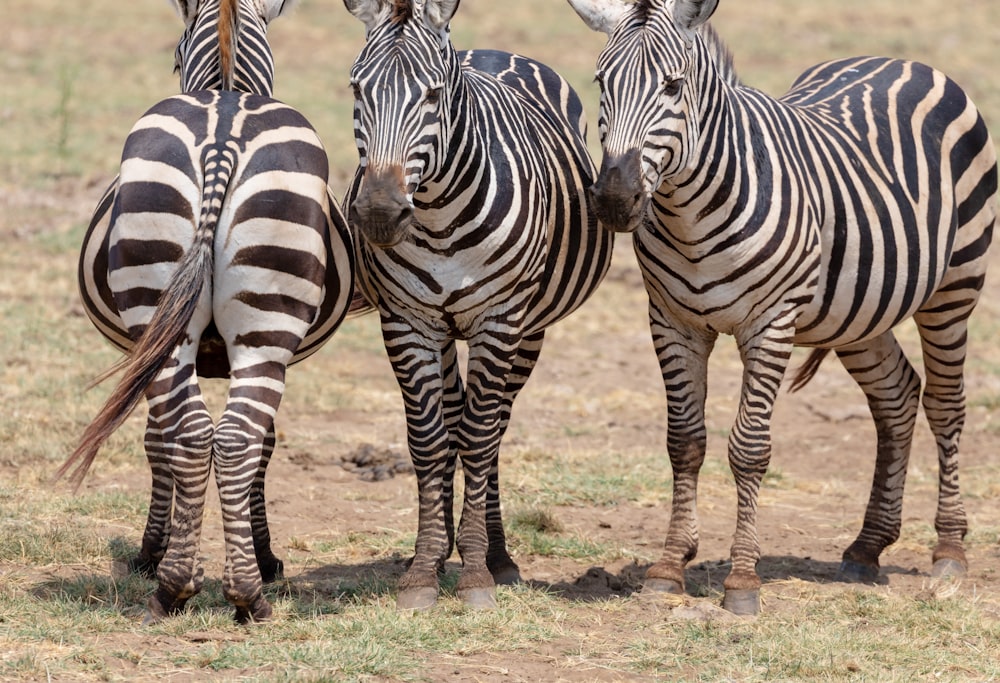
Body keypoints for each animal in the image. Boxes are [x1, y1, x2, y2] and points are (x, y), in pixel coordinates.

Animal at [62, 0, 360, 624]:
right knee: (228, 436)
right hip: (253, 321)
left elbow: (160, 440)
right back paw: (235, 588)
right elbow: (252, 444)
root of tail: (223, 133)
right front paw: (257, 554)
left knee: (206, 433)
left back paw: (184, 584)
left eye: (174, 57)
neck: (227, 87)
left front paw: (154, 551)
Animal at [340, 0, 612, 608]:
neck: (439, 217)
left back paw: (495, 554)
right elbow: (429, 440)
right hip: (444, 331)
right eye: (356, 89)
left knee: (493, 429)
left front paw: (476, 574)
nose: (378, 214)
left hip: (529, 328)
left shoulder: (499, 320)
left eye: (433, 94)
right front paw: (424, 567)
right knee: (453, 420)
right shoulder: (407, 322)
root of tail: (487, 51)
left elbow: (481, 437)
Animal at [568, 0, 996, 616]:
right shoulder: (672, 322)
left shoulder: (769, 325)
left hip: (955, 286)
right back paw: (868, 546)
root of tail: (903, 61)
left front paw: (743, 580)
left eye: (673, 86)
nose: (613, 199)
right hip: (859, 311)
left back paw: (950, 551)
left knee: (945, 405)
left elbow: (749, 449)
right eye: (601, 84)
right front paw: (669, 567)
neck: (688, 214)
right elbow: (684, 443)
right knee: (897, 396)